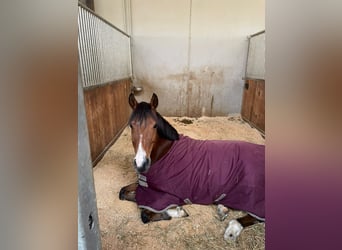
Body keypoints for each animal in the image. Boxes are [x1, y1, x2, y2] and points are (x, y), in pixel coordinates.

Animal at [119, 92, 266, 240]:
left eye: (154, 126)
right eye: (131, 125)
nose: (141, 164)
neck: (166, 153)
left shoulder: (167, 195)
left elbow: (144, 214)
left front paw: (177, 211)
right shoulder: (147, 186)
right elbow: (123, 192)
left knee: (256, 217)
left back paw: (232, 230)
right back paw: (222, 209)